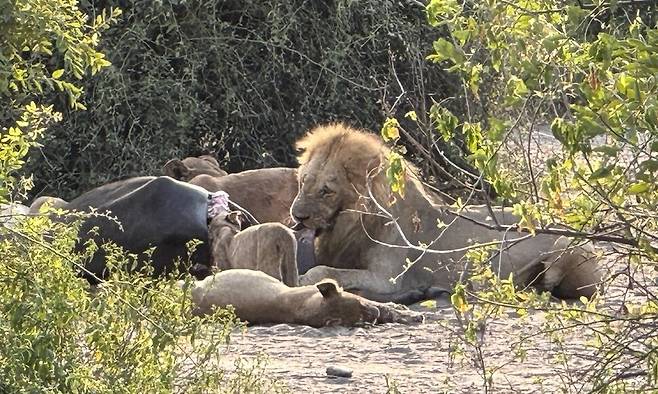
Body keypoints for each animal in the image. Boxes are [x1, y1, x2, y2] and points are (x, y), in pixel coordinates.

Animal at [290, 123, 600, 304]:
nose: (297, 217)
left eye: (326, 191)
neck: (351, 224)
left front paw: (306, 279)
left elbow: (325, 270)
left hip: (565, 247)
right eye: (303, 181)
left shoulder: (388, 277)